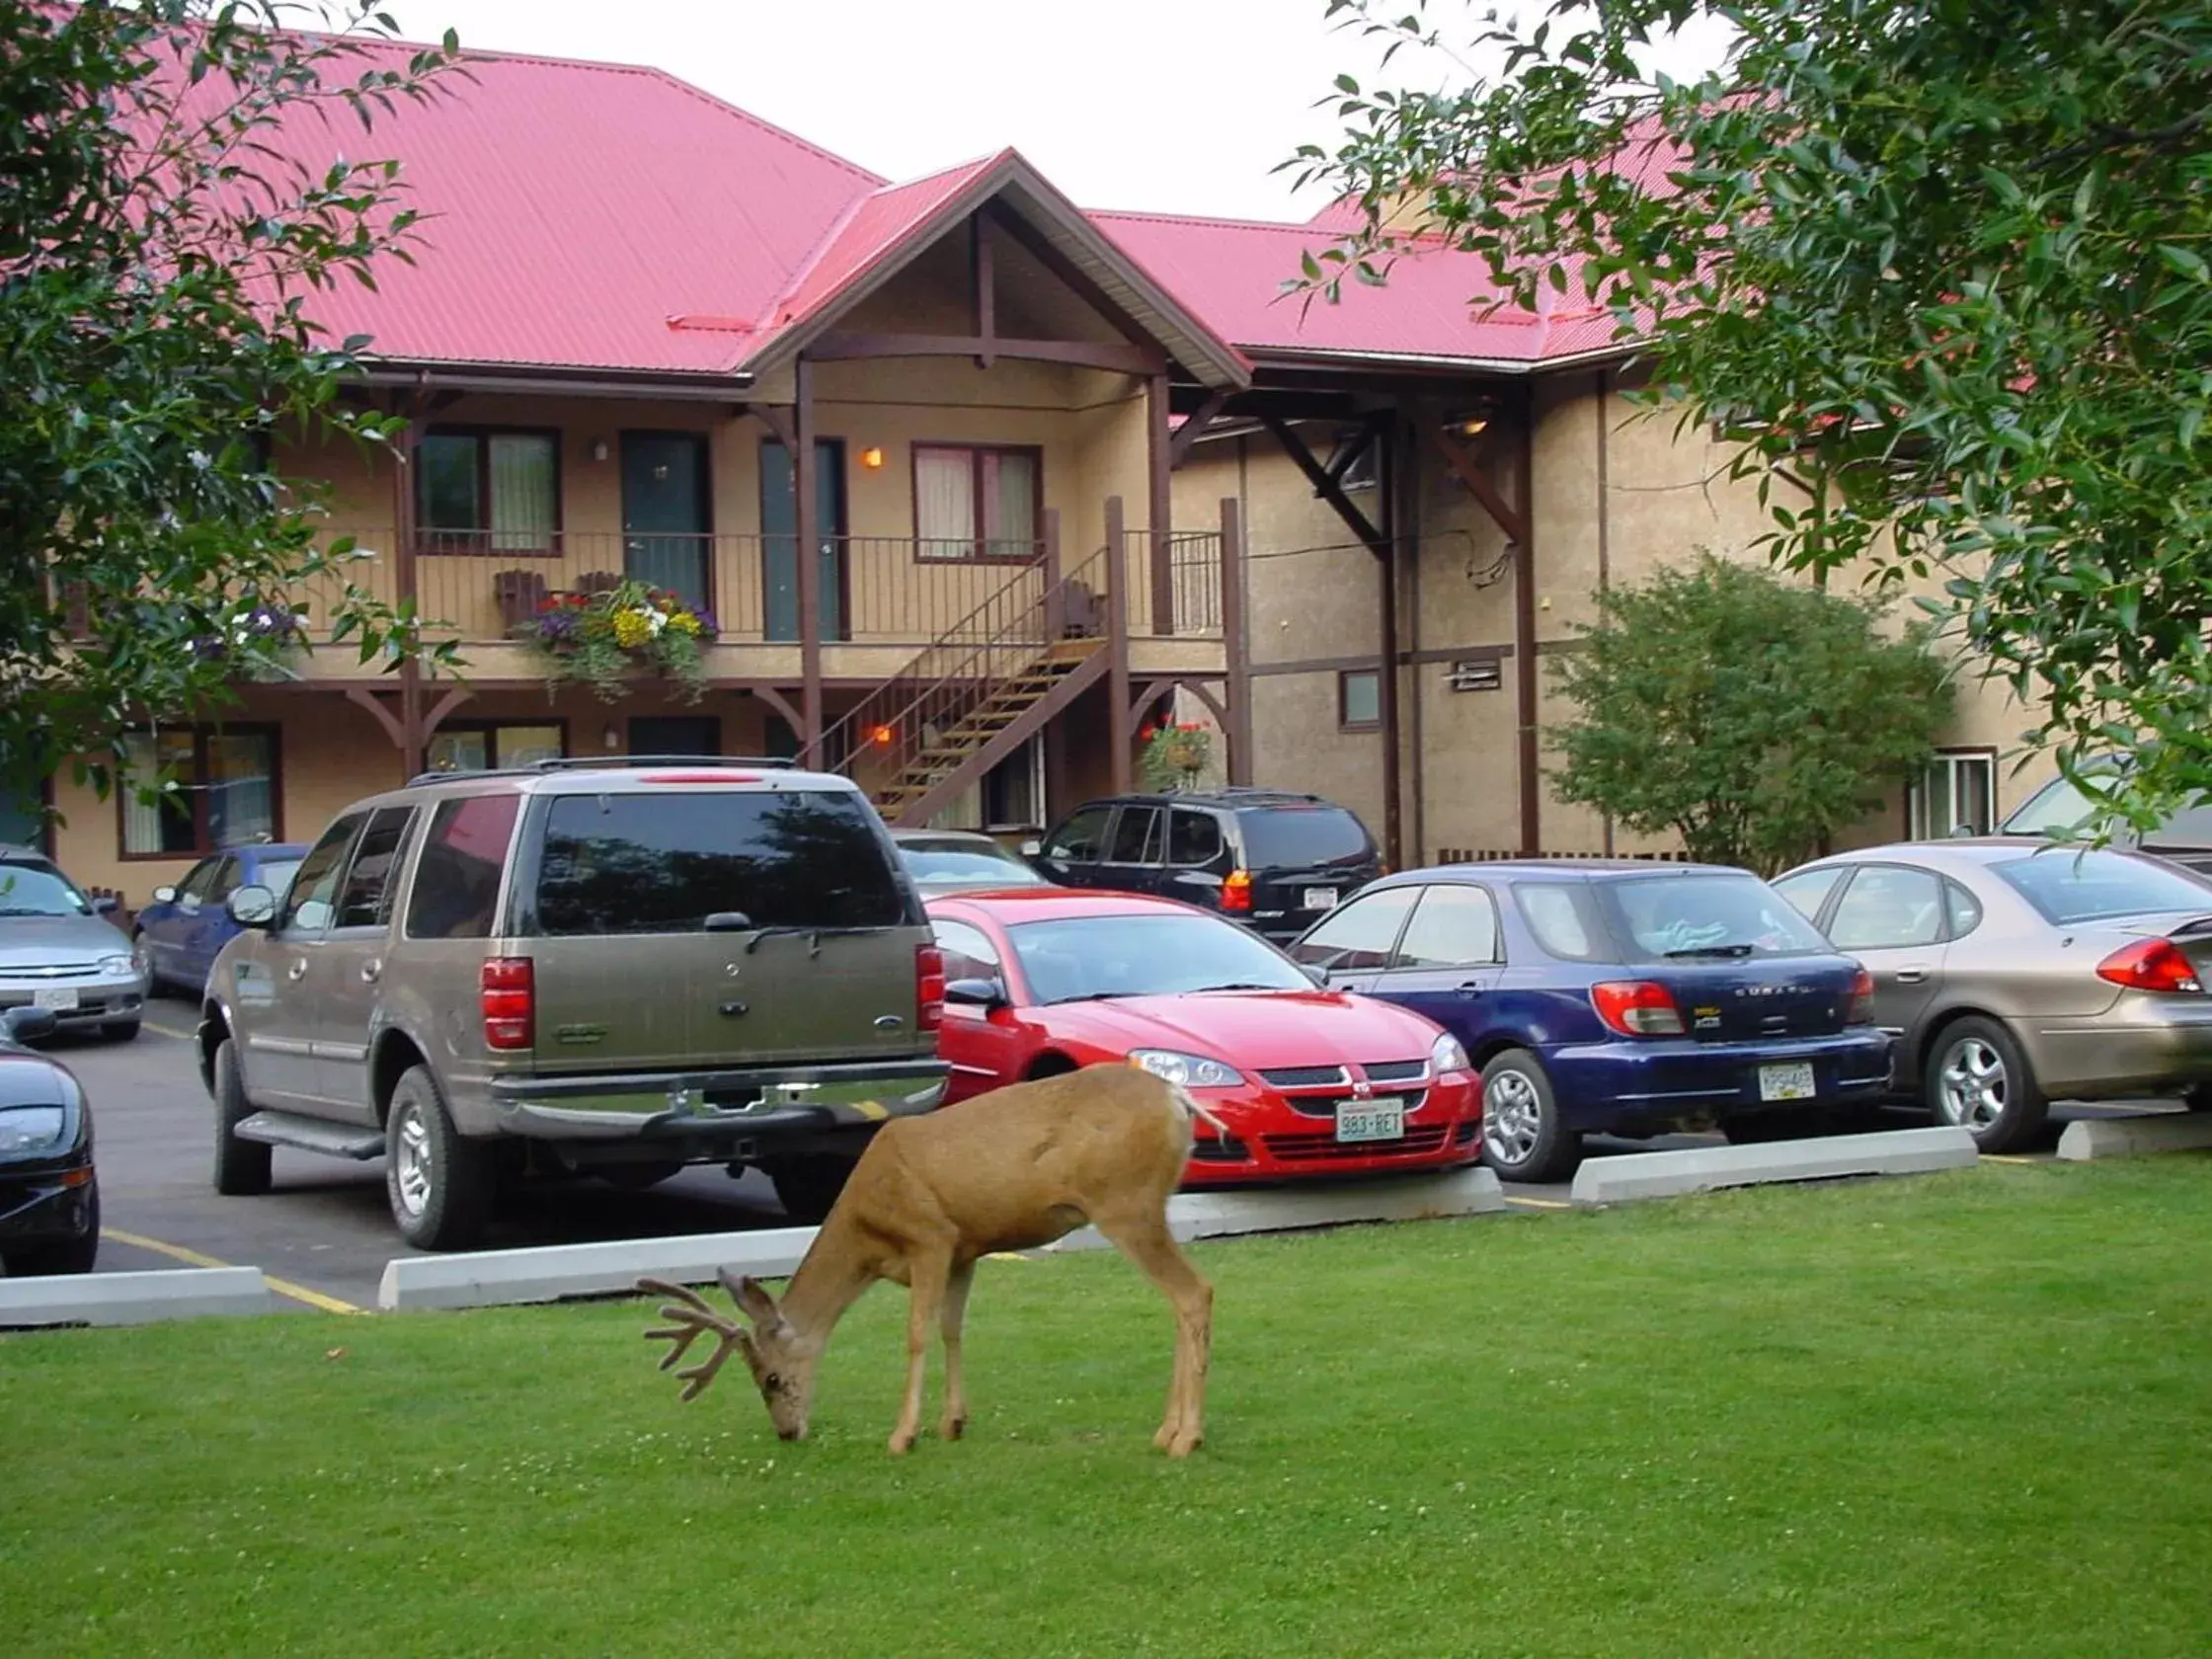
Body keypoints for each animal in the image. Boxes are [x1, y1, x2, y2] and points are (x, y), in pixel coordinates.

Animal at [641, 1070, 1221, 1460]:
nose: (788, 1433)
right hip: (1149, 1203)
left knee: (1194, 1292)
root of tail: (1177, 1098)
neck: (866, 1230)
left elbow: (917, 1333)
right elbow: (952, 1329)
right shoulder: (966, 1249)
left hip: (1125, 1203)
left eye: (772, 1380)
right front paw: (952, 1423)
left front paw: (903, 1434)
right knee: (1180, 1301)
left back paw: (1186, 1438)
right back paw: (1166, 1431)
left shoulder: (930, 1238)